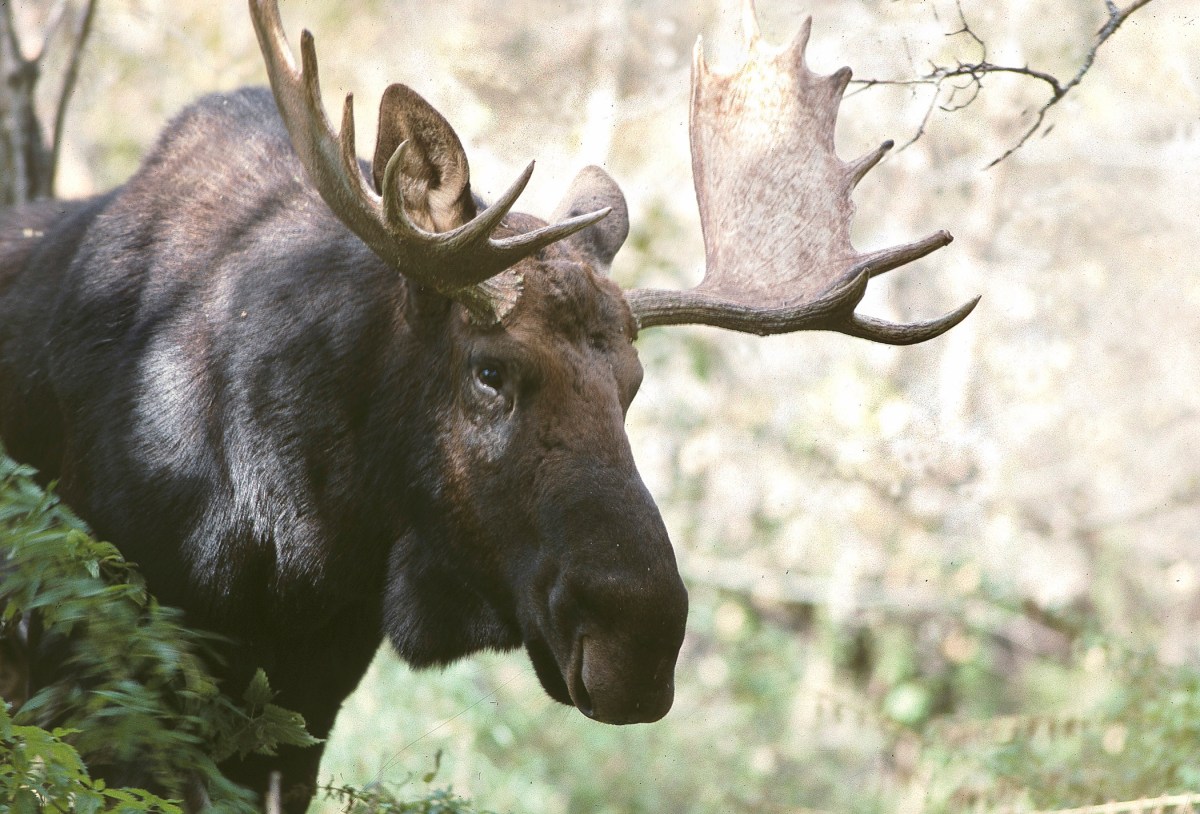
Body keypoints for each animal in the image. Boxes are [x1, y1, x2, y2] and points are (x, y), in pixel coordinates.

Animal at [0, 0, 976, 809]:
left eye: (632, 385)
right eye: (490, 372)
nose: (641, 642)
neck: (282, 532)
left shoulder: (305, 701)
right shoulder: (102, 669)